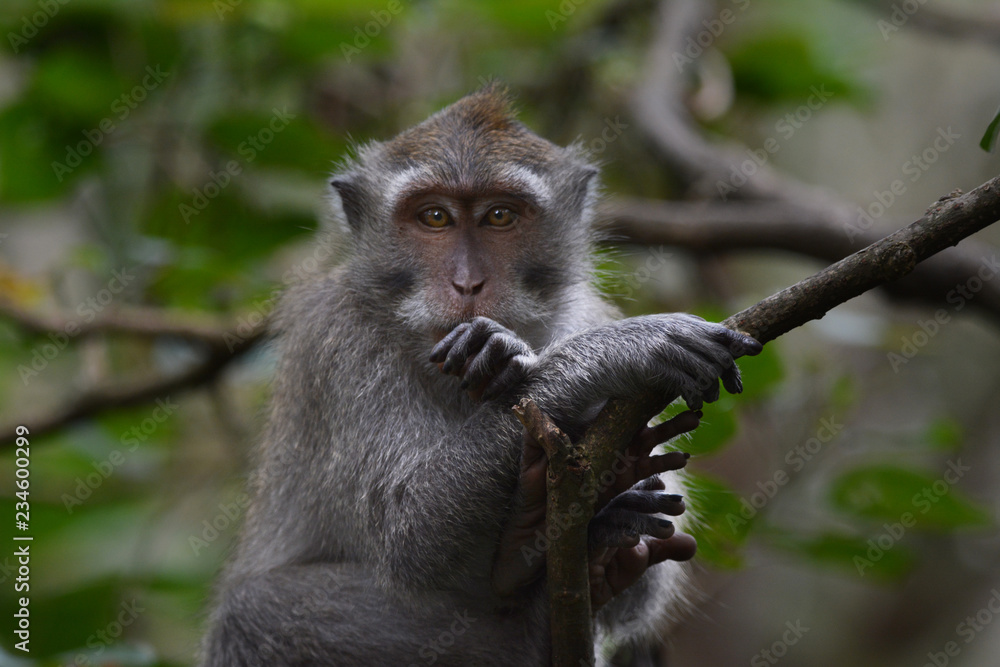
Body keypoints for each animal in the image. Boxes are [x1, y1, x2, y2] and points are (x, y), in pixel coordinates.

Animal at [201, 83, 760, 666]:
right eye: (434, 218)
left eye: (498, 216)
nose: (467, 283)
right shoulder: (339, 345)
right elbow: (411, 532)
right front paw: (615, 353)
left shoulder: (583, 310)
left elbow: (651, 574)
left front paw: (506, 354)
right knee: (251, 611)